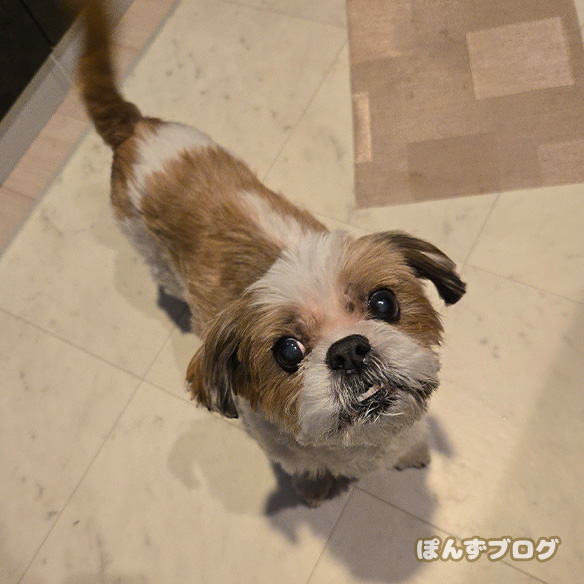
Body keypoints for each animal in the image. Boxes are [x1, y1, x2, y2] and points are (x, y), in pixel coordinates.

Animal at [77, 0, 465, 506]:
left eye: (384, 302)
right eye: (287, 351)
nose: (349, 350)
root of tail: (136, 130)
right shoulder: (280, 444)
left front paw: (411, 449)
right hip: (145, 245)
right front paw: (318, 486)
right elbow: (304, 466)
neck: (358, 444)